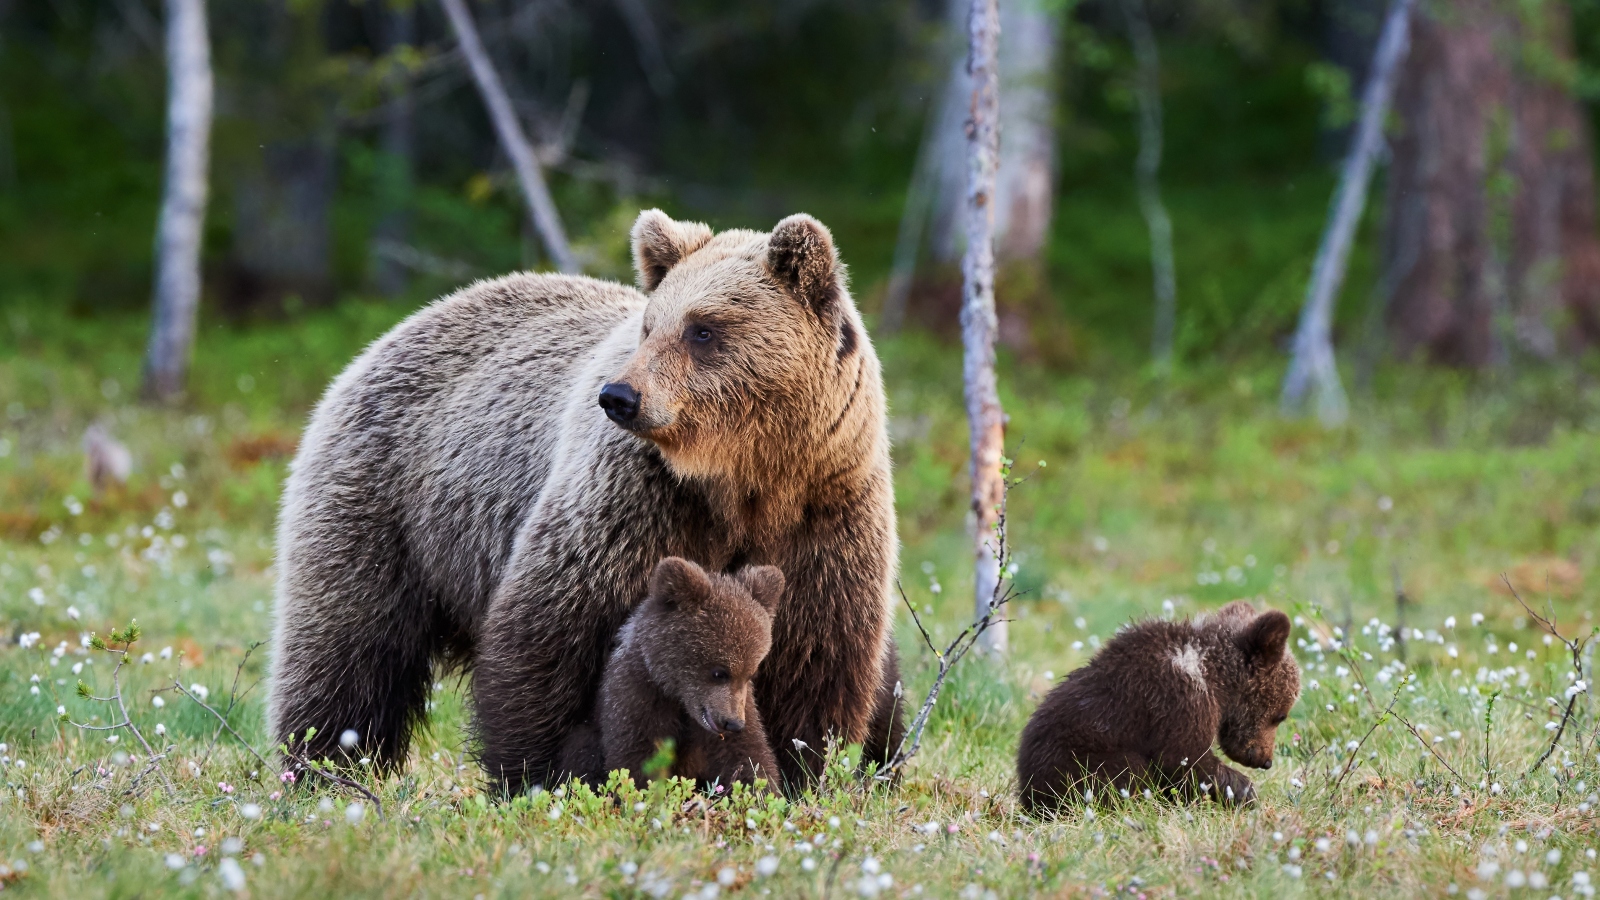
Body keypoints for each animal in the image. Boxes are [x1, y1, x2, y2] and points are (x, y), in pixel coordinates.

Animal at [268, 208, 908, 784]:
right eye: (651, 325)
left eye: (703, 328)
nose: (620, 396)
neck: (744, 478)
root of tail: (403, 326)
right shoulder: (637, 501)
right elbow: (552, 630)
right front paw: (542, 774)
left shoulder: (824, 512)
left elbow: (814, 657)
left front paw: (800, 772)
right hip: (389, 500)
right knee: (349, 648)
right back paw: (325, 763)